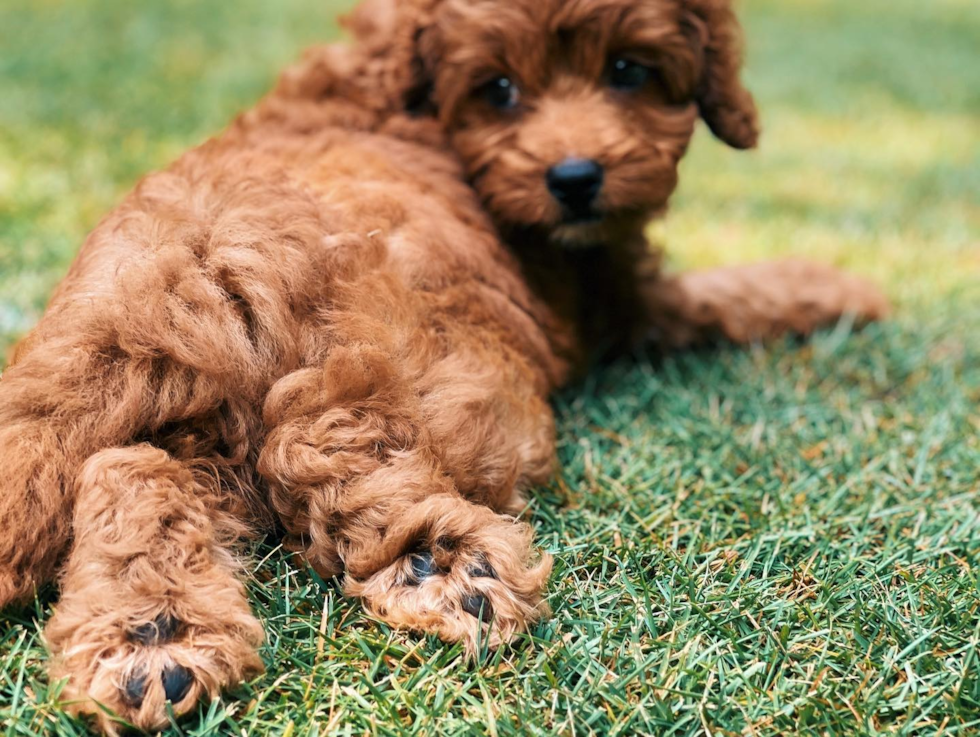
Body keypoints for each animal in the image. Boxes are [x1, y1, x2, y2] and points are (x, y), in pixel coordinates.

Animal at [0, 0, 888, 732]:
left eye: (628, 71)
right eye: (498, 88)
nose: (575, 180)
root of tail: (178, 278)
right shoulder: (626, 300)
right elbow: (725, 296)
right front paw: (838, 288)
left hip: (190, 426)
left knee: (132, 466)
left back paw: (151, 635)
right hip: (431, 375)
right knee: (320, 450)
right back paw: (437, 561)